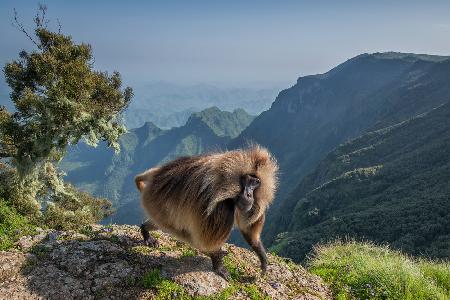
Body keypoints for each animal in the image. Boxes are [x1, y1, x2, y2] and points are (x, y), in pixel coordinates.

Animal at [134, 145, 278, 278]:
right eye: (247, 180)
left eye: (256, 182)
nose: (249, 195)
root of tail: (156, 175)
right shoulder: (221, 207)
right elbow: (209, 240)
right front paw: (218, 267)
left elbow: (248, 230)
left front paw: (263, 260)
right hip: (154, 203)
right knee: (185, 233)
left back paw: (145, 229)